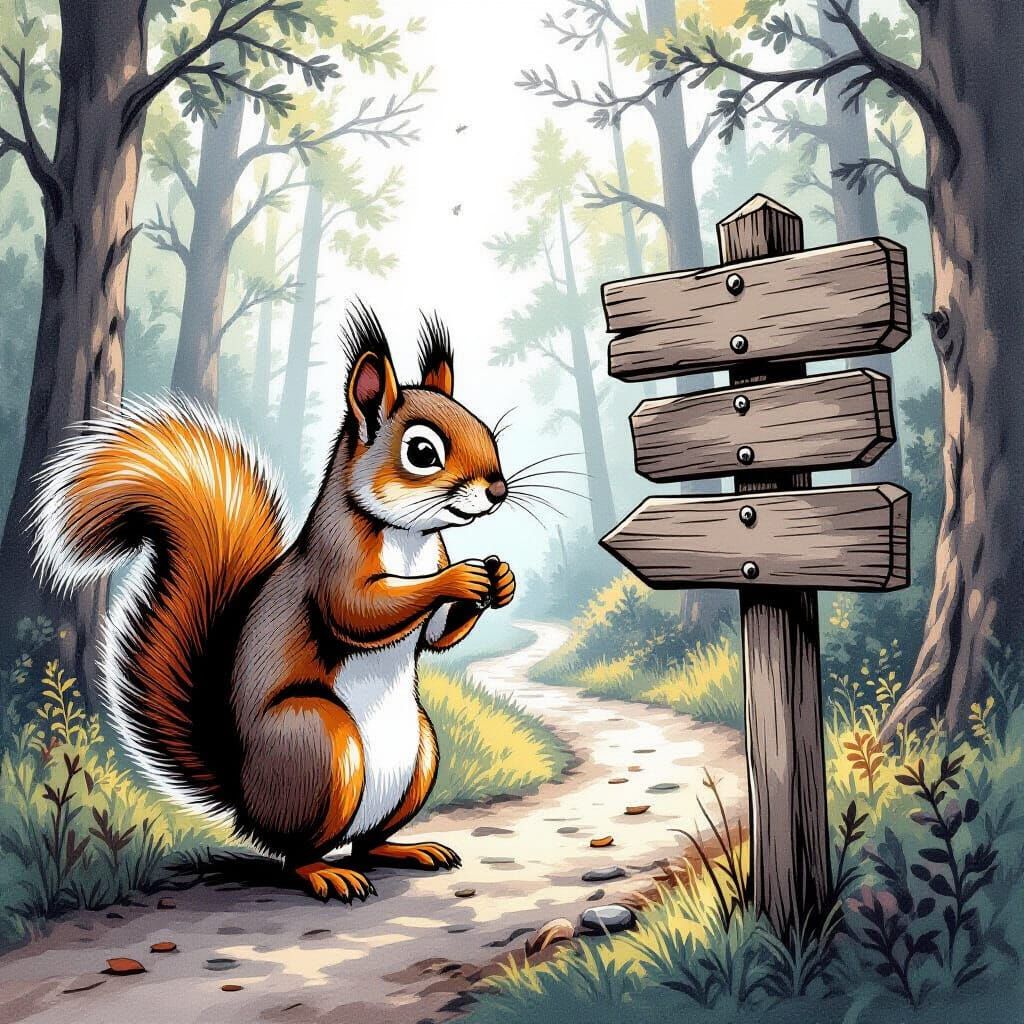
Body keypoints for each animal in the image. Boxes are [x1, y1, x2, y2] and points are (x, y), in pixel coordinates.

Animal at [31, 303, 516, 902]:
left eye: (486, 429)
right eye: (422, 452)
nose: (497, 490)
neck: (410, 537)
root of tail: (245, 800)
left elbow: (434, 635)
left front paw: (501, 580)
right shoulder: (335, 561)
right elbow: (357, 610)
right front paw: (458, 579)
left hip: (421, 752)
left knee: (365, 841)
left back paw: (406, 849)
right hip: (318, 744)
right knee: (295, 855)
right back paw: (326, 873)